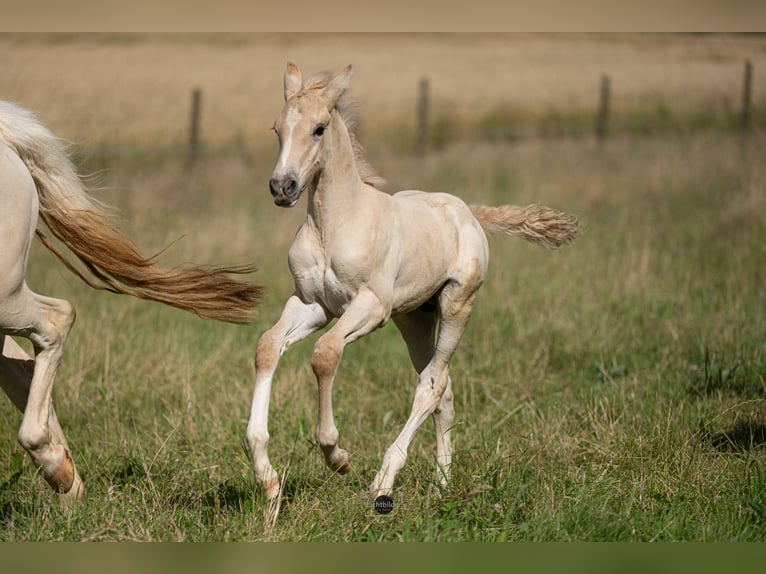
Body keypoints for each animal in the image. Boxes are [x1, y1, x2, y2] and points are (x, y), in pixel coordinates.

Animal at [248, 64, 584, 508]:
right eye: (276, 128)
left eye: (319, 129)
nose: (281, 187)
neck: (333, 224)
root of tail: (466, 211)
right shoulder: (312, 304)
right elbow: (269, 345)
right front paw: (267, 476)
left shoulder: (370, 307)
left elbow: (326, 354)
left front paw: (336, 455)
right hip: (414, 319)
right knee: (446, 392)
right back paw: (442, 483)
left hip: (457, 305)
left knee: (432, 385)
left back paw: (384, 480)